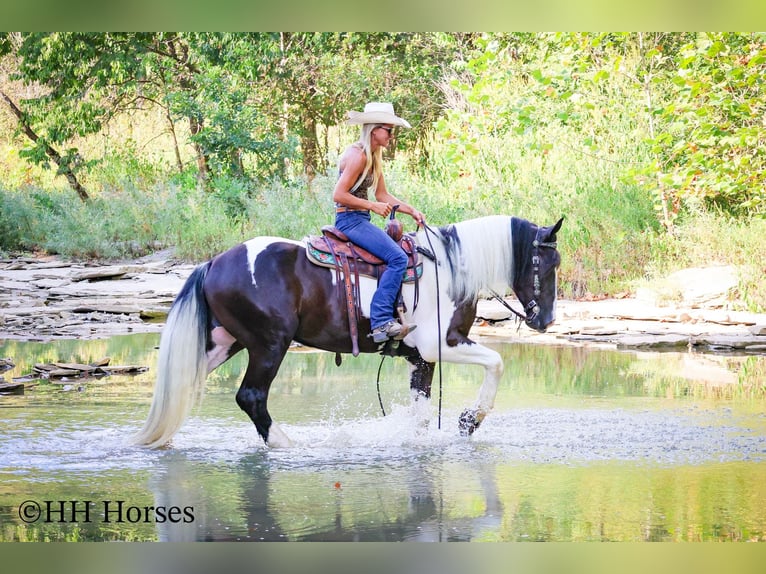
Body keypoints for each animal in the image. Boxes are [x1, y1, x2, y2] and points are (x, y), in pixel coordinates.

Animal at [132, 214, 563, 448]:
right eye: (547, 263)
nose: (545, 321)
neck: (450, 269)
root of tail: (213, 263)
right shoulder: (440, 345)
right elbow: (496, 362)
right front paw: (469, 421)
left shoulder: (420, 359)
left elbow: (420, 414)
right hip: (269, 345)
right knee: (251, 396)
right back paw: (285, 444)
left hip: (225, 343)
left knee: (182, 383)